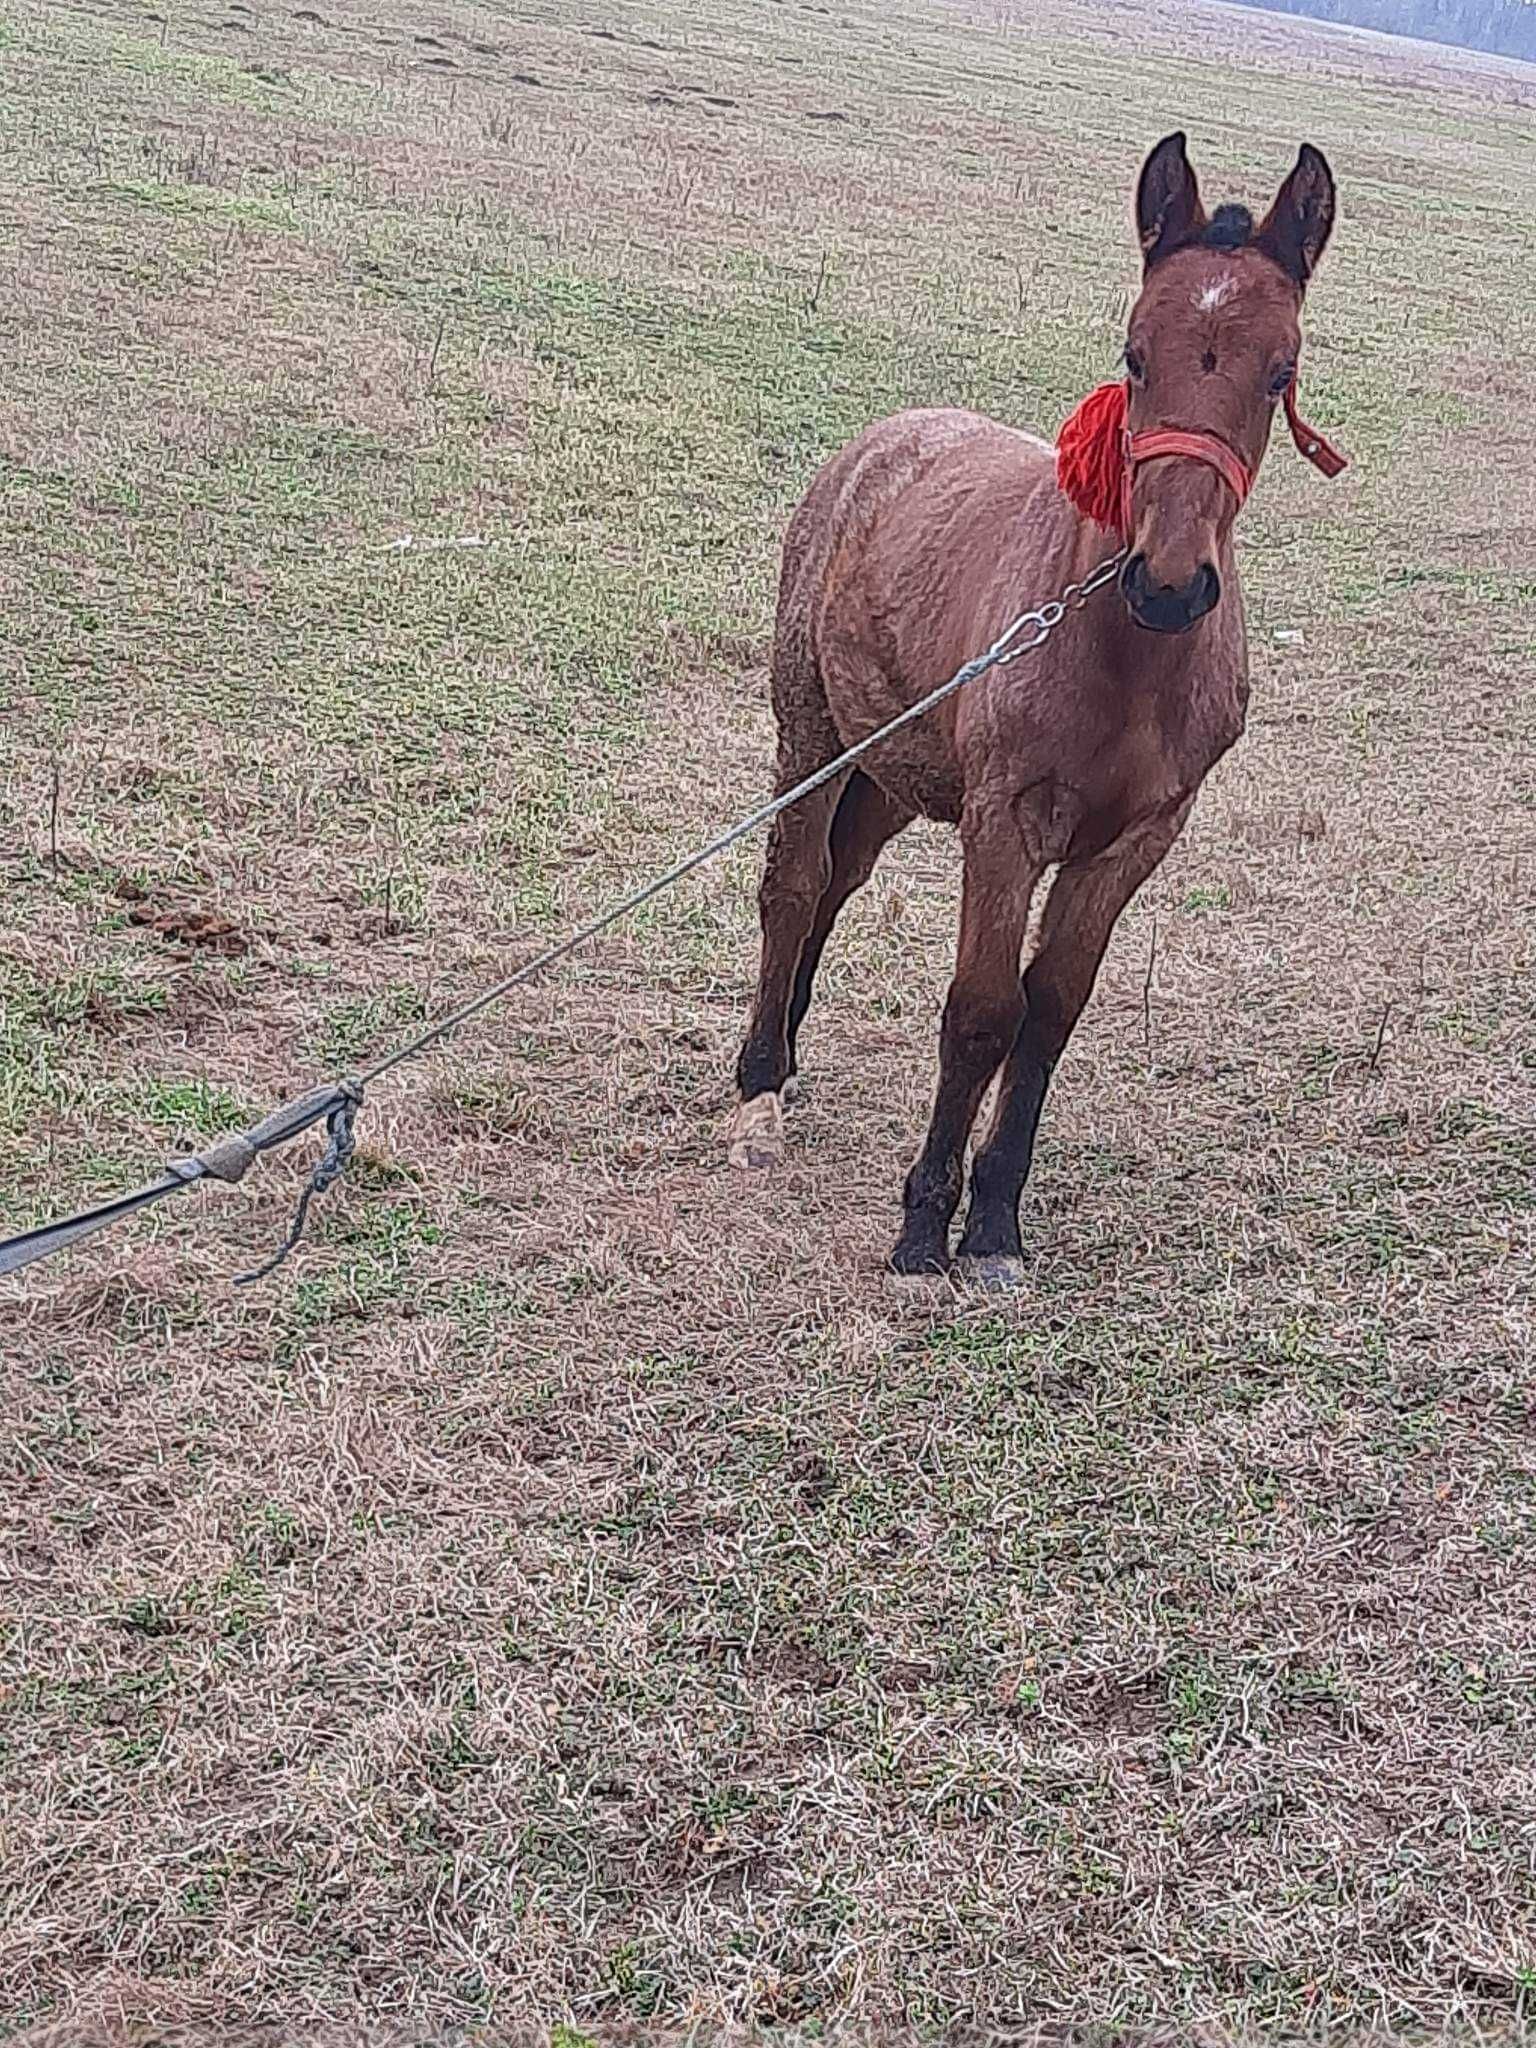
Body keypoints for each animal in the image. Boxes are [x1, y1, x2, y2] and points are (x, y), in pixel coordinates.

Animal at [729, 132, 1343, 1277]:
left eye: (1279, 371)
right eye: (1134, 353)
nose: (1170, 583)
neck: (1124, 657)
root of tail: (886, 438)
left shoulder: (1135, 840)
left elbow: (1050, 1010)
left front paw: (996, 1218)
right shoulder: (1005, 822)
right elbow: (981, 1009)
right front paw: (925, 1221)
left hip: (896, 771)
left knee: (837, 879)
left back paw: (786, 1046)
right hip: (814, 729)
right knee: (792, 884)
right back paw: (757, 1078)